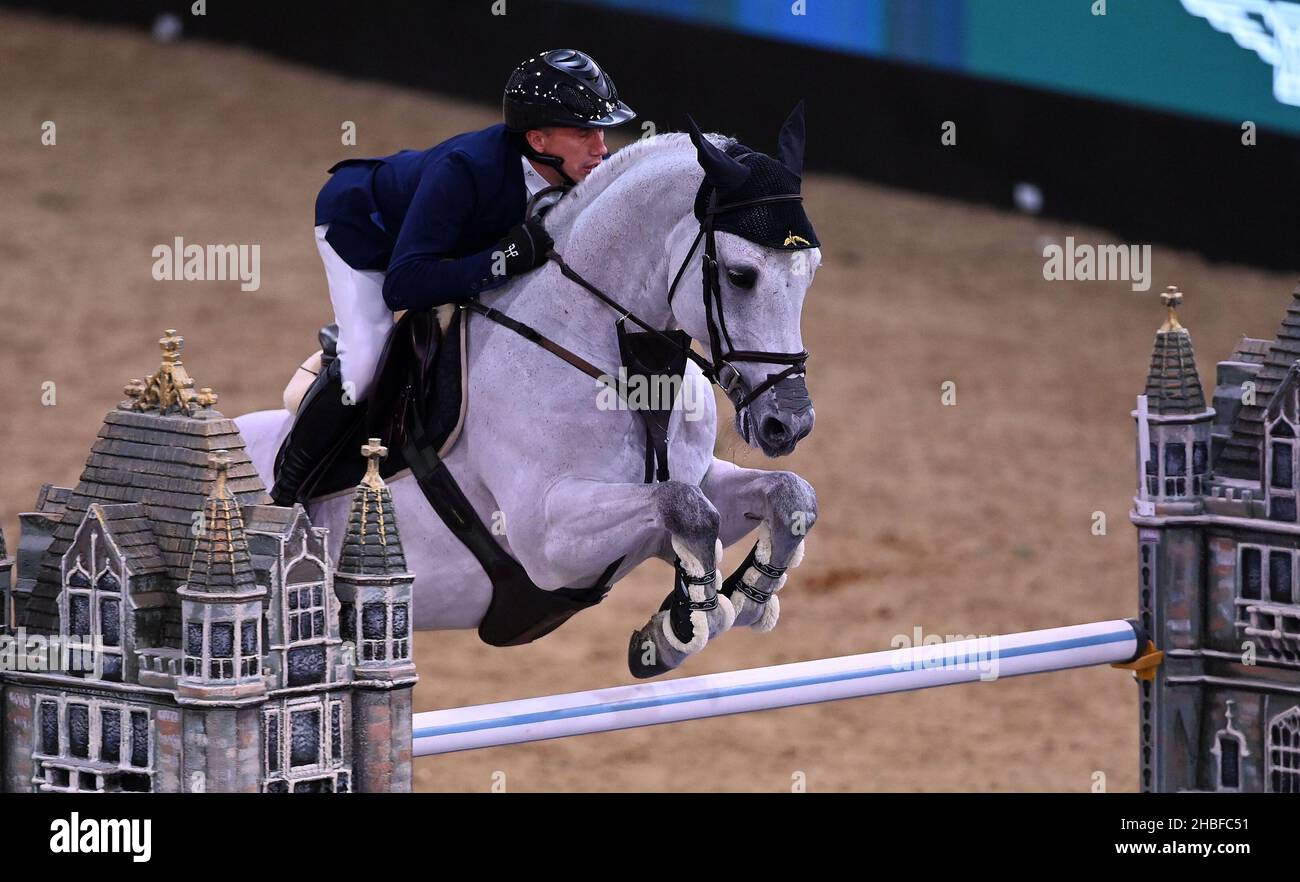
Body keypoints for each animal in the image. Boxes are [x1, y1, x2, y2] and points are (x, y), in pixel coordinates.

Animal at [236, 107, 821, 681]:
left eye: (810, 272)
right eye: (741, 275)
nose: (789, 424)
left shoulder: (693, 482)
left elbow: (788, 496)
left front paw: (729, 604)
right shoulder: (547, 543)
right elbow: (689, 511)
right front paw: (683, 625)